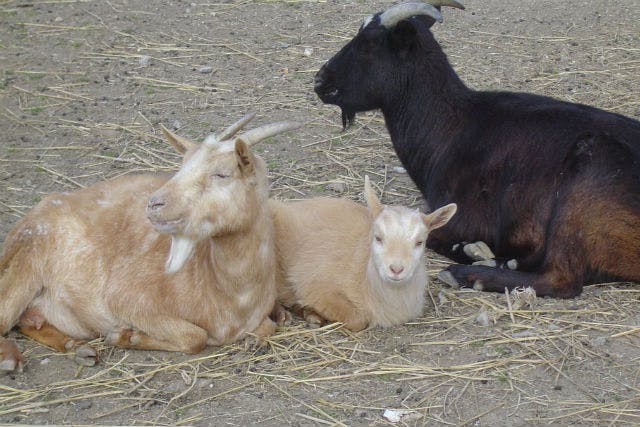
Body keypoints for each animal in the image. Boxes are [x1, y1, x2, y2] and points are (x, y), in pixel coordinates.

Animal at [0, 114, 300, 372]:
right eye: (181, 167)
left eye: (222, 174)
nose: (154, 203)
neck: (231, 295)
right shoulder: (127, 298)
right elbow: (195, 336)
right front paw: (126, 336)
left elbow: (266, 328)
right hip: (27, 259)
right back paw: (11, 358)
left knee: (27, 321)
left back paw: (77, 348)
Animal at [268, 177, 456, 332]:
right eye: (378, 238)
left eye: (419, 242)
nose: (396, 269)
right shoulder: (314, 285)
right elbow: (358, 320)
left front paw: (310, 312)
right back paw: (283, 315)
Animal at [314, 1, 640, 300]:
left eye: (369, 45)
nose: (320, 80)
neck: (454, 127)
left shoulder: (464, 216)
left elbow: (429, 233)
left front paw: (472, 251)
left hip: (584, 184)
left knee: (562, 279)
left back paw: (468, 273)